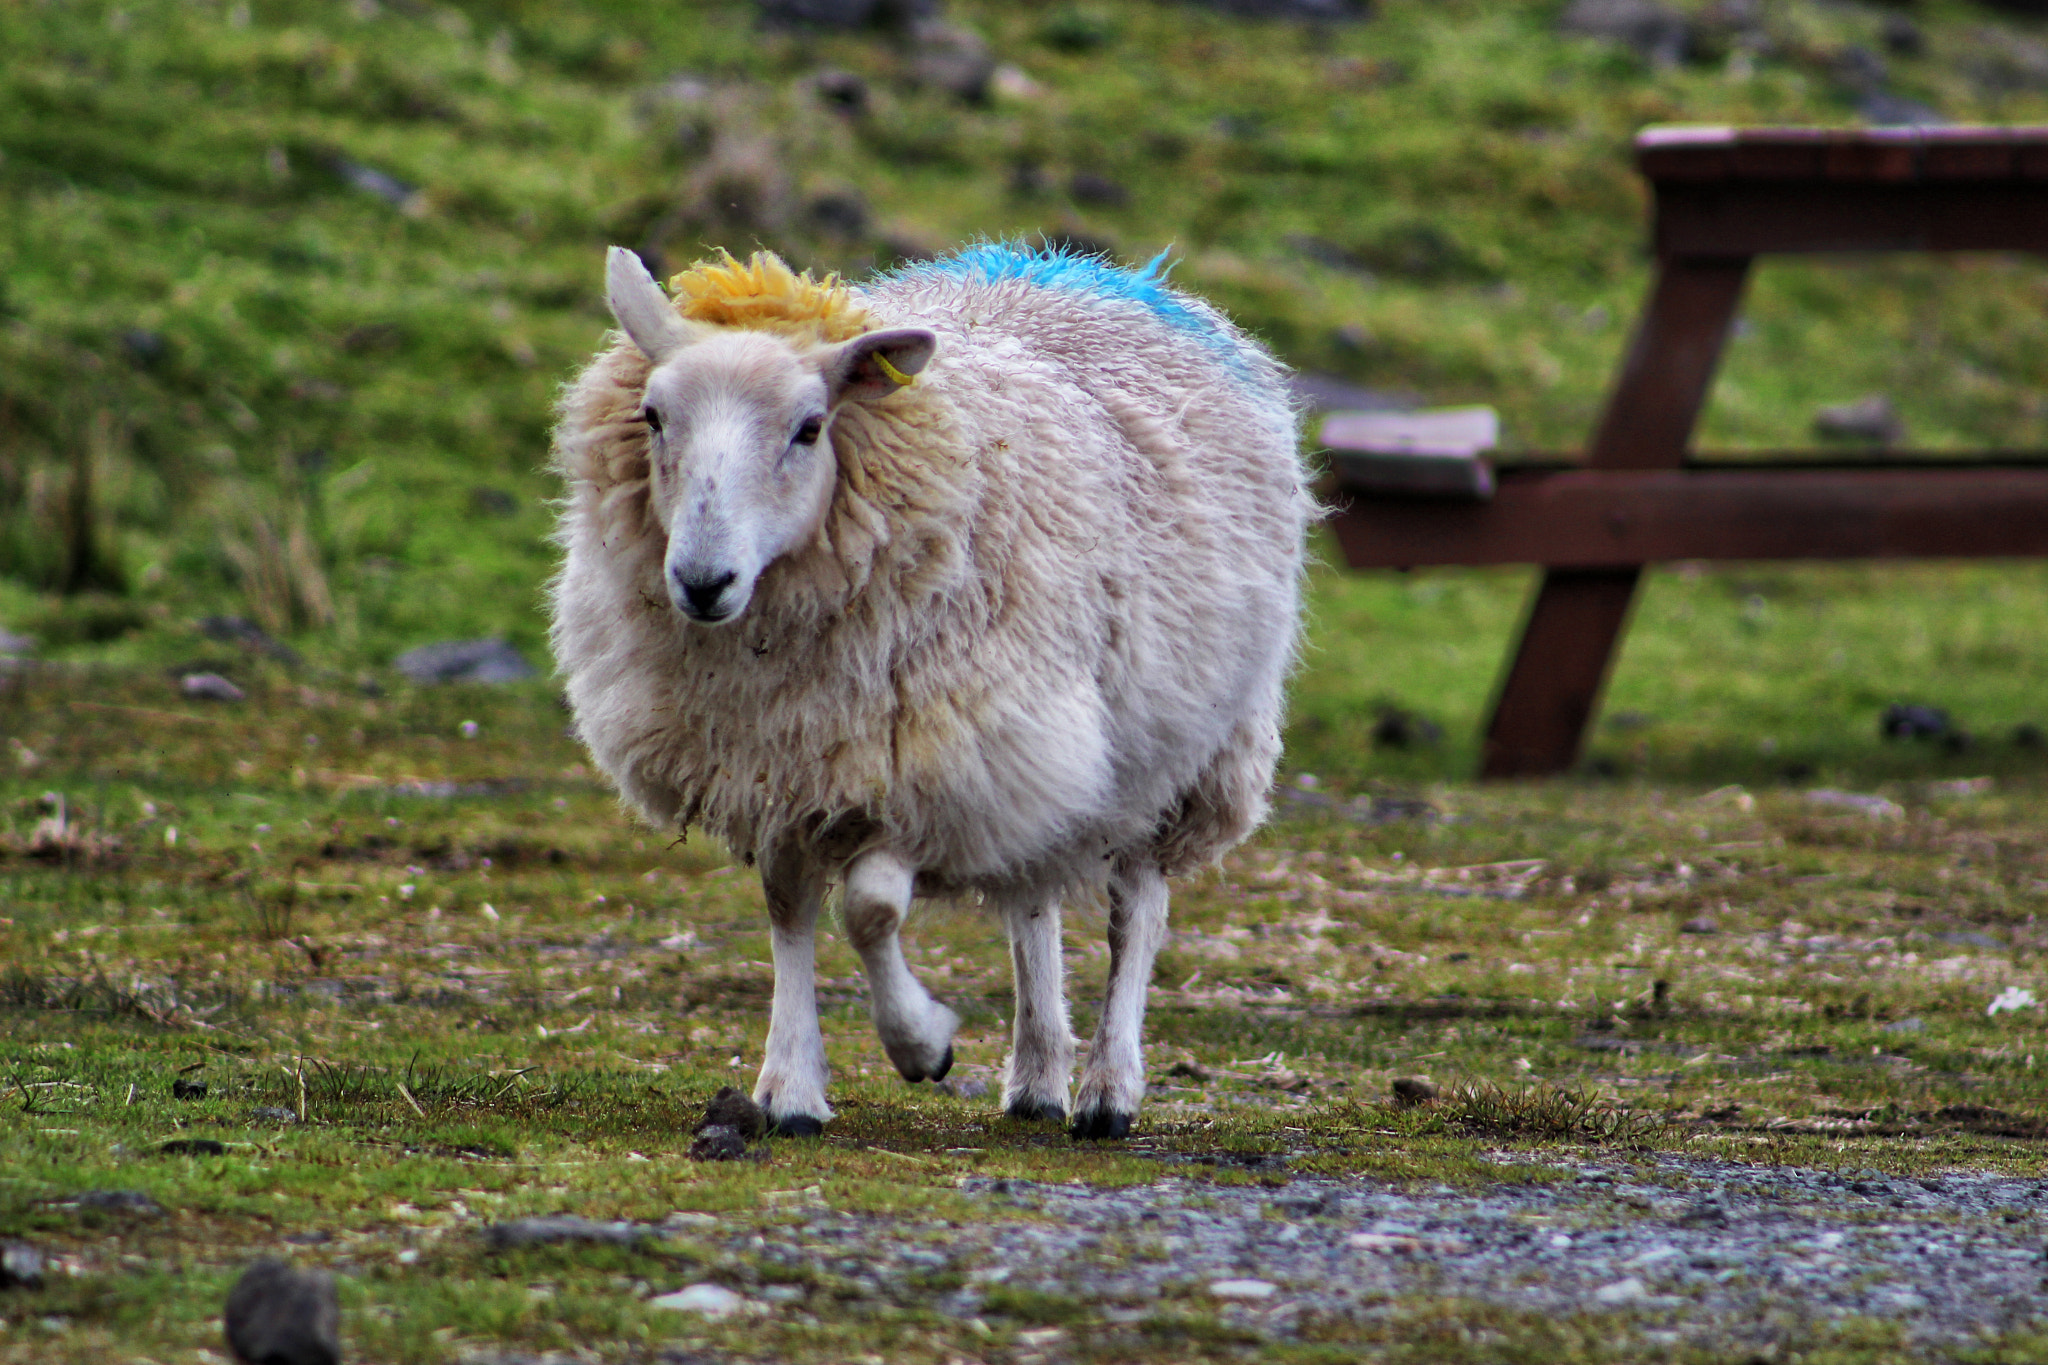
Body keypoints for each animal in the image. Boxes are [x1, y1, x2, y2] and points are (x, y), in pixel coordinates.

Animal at [550, 242, 1311, 1139]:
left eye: (810, 428)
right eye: (654, 416)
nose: (703, 582)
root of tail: (1106, 273)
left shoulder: (925, 768)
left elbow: (870, 910)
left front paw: (923, 1044)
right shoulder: (786, 764)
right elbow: (789, 909)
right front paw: (791, 1086)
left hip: (1176, 752)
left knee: (1137, 912)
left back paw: (1107, 1089)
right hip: (1041, 761)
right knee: (1032, 905)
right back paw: (1037, 1076)